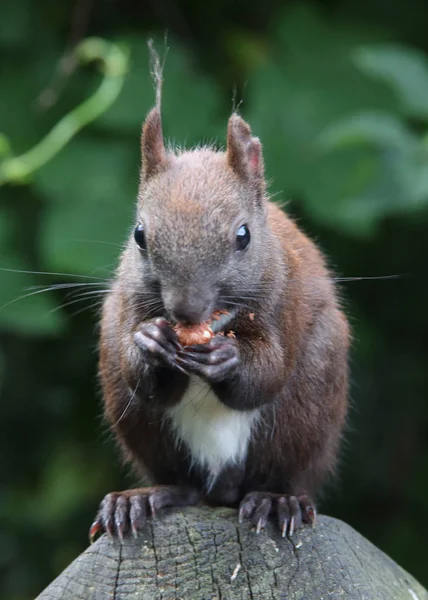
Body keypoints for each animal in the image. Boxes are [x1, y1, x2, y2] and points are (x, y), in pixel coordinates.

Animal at [88, 72, 350, 540]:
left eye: (243, 236)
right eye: (139, 235)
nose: (186, 311)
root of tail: (222, 488)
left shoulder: (285, 305)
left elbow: (268, 372)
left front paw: (228, 357)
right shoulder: (129, 306)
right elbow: (144, 377)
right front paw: (149, 343)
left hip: (308, 410)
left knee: (285, 474)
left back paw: (276, 501)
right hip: (134, 413)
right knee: (184, 483)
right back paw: (144, 498)